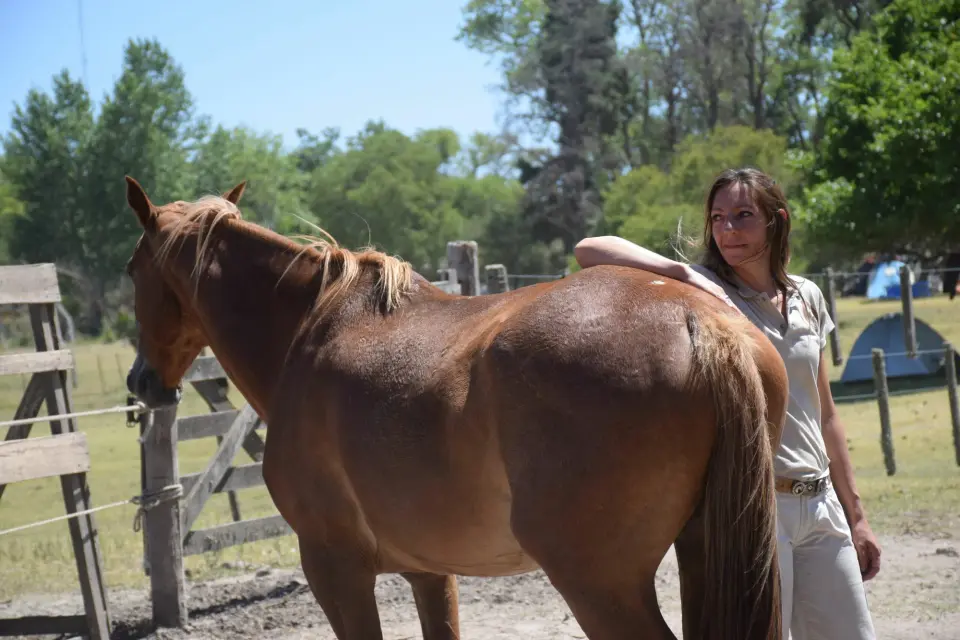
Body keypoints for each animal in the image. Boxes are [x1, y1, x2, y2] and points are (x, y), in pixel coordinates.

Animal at [123, 176, 788, 640]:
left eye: (131, 270)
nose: (141, 383)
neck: (311, 331)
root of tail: (699, 322)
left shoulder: (335, 567)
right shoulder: (429, 572)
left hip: (603, 586)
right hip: (703, 552)